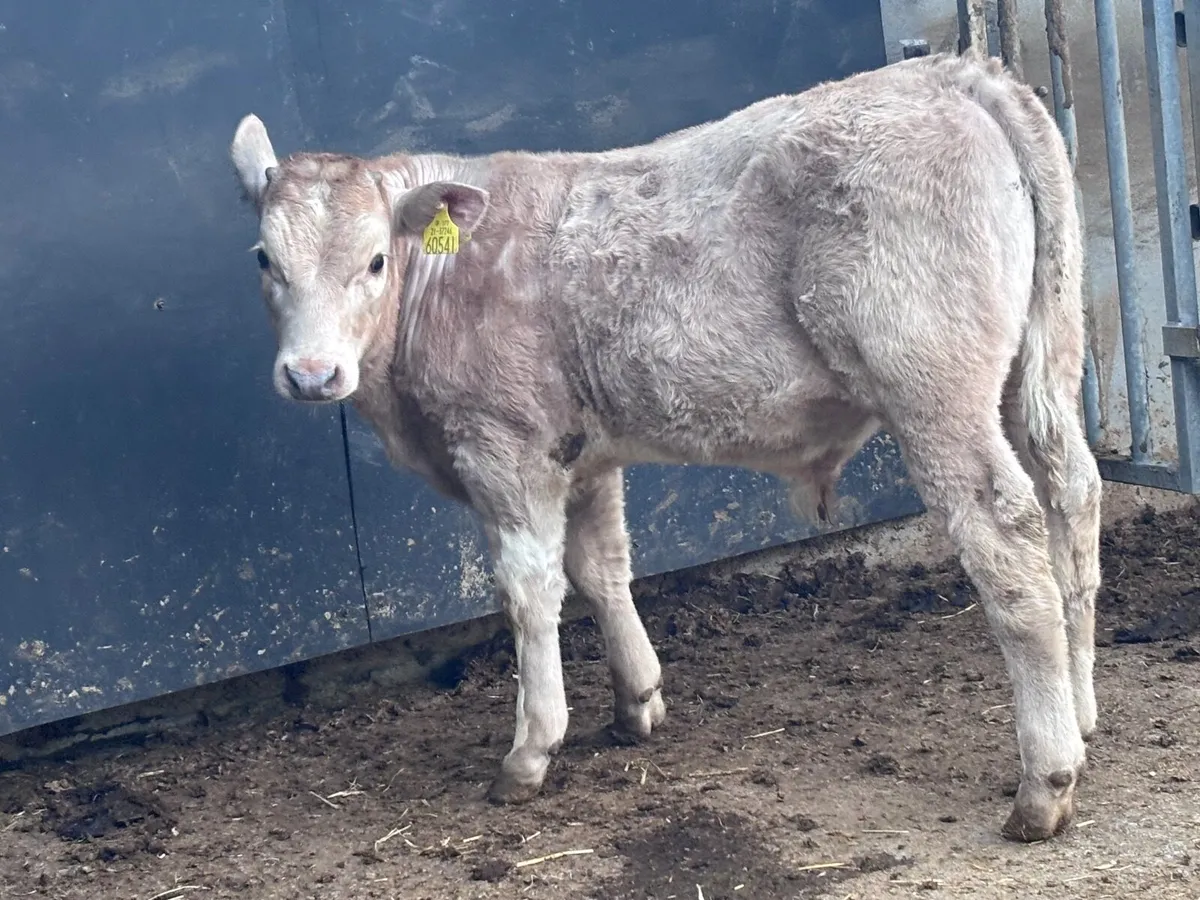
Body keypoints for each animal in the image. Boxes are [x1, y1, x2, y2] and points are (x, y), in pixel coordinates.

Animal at [229, 50, 1102, 843]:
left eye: (375, 260)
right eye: (265, 259)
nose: (311, 374)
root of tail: (954, 72)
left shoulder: (504, 446)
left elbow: (529, 589)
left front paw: (530, 749)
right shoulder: (583, 453)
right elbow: (602, 568)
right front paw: (637, 703)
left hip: (930, 383)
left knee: (1006, 533)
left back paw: (1045, 781)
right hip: (1039, 361)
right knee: (1073, 491)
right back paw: (1084, 706)